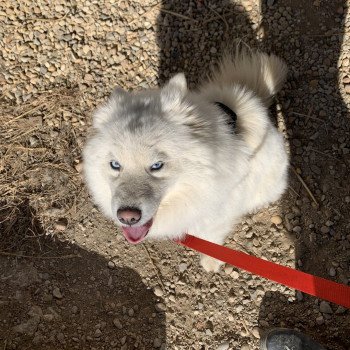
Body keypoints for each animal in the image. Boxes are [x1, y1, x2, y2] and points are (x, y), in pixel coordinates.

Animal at [83, 50, 288, 270]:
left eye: (157, 165)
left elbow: (212, 239)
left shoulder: (218, 218)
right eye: (115, 165)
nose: (128, 217)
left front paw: (210, 262)